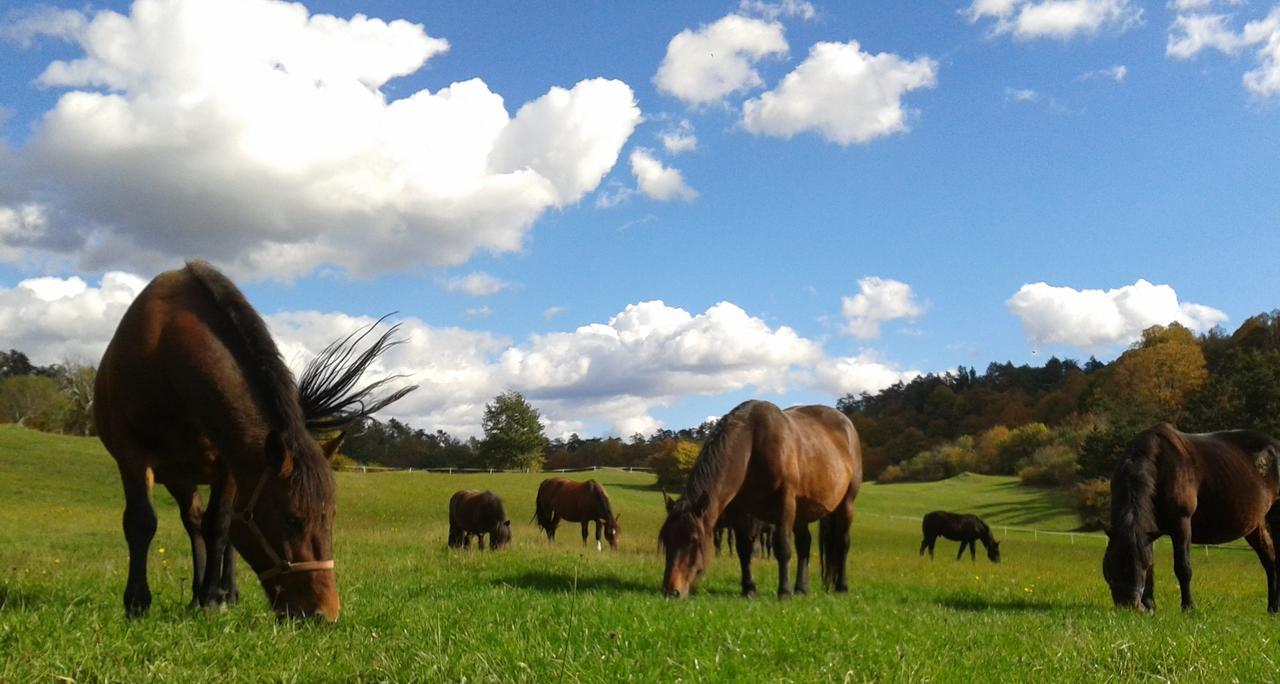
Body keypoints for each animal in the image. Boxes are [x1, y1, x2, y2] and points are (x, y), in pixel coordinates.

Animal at [95, 261, 414, 622]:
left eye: (331, 517)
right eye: (291, 519)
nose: (325, 613)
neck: (166, 353)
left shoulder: (230, 464)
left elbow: (220, 527)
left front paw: (213, 598)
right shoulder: (131, 455)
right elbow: (142, 522)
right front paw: (137, 602)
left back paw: (224, 591)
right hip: (179, 477)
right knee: (192, 522)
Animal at [660, 402, 860, 599]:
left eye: (694, 541)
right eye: (666, 540)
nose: (671, 591)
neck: (751, 446)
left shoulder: (785, 503)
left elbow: (782, 547)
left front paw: (784, 591)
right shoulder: (739, 511)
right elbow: (743, 548)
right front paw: (749, 589)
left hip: (845, 505)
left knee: (842, 542)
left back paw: (841, 587)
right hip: (801, 511)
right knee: (804, 544)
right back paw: (801, 589)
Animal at [1100, 425, 1280, 614]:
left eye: (1141, 564)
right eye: (1111, 560)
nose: (1128, 604)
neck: (1160, 464)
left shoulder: (1182, 523)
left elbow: (1183, 568)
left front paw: (1188, 607)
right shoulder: (1149, 533)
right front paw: (1150, 604)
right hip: (1255, 526)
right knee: (1269, 561)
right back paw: (1272, 609)